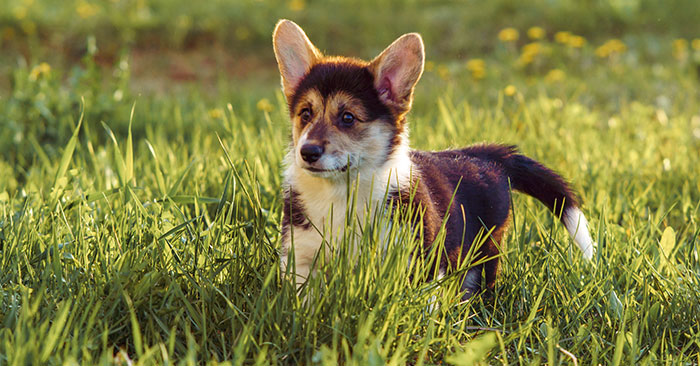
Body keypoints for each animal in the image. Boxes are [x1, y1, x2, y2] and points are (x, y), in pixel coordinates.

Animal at [270, 20, 592, 298]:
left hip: (485, 251)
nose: (307, 152)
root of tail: (485, 154)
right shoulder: (301, 257)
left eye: (348, 118)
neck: (340, 192)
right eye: (305, 114)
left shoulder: (417, 257)